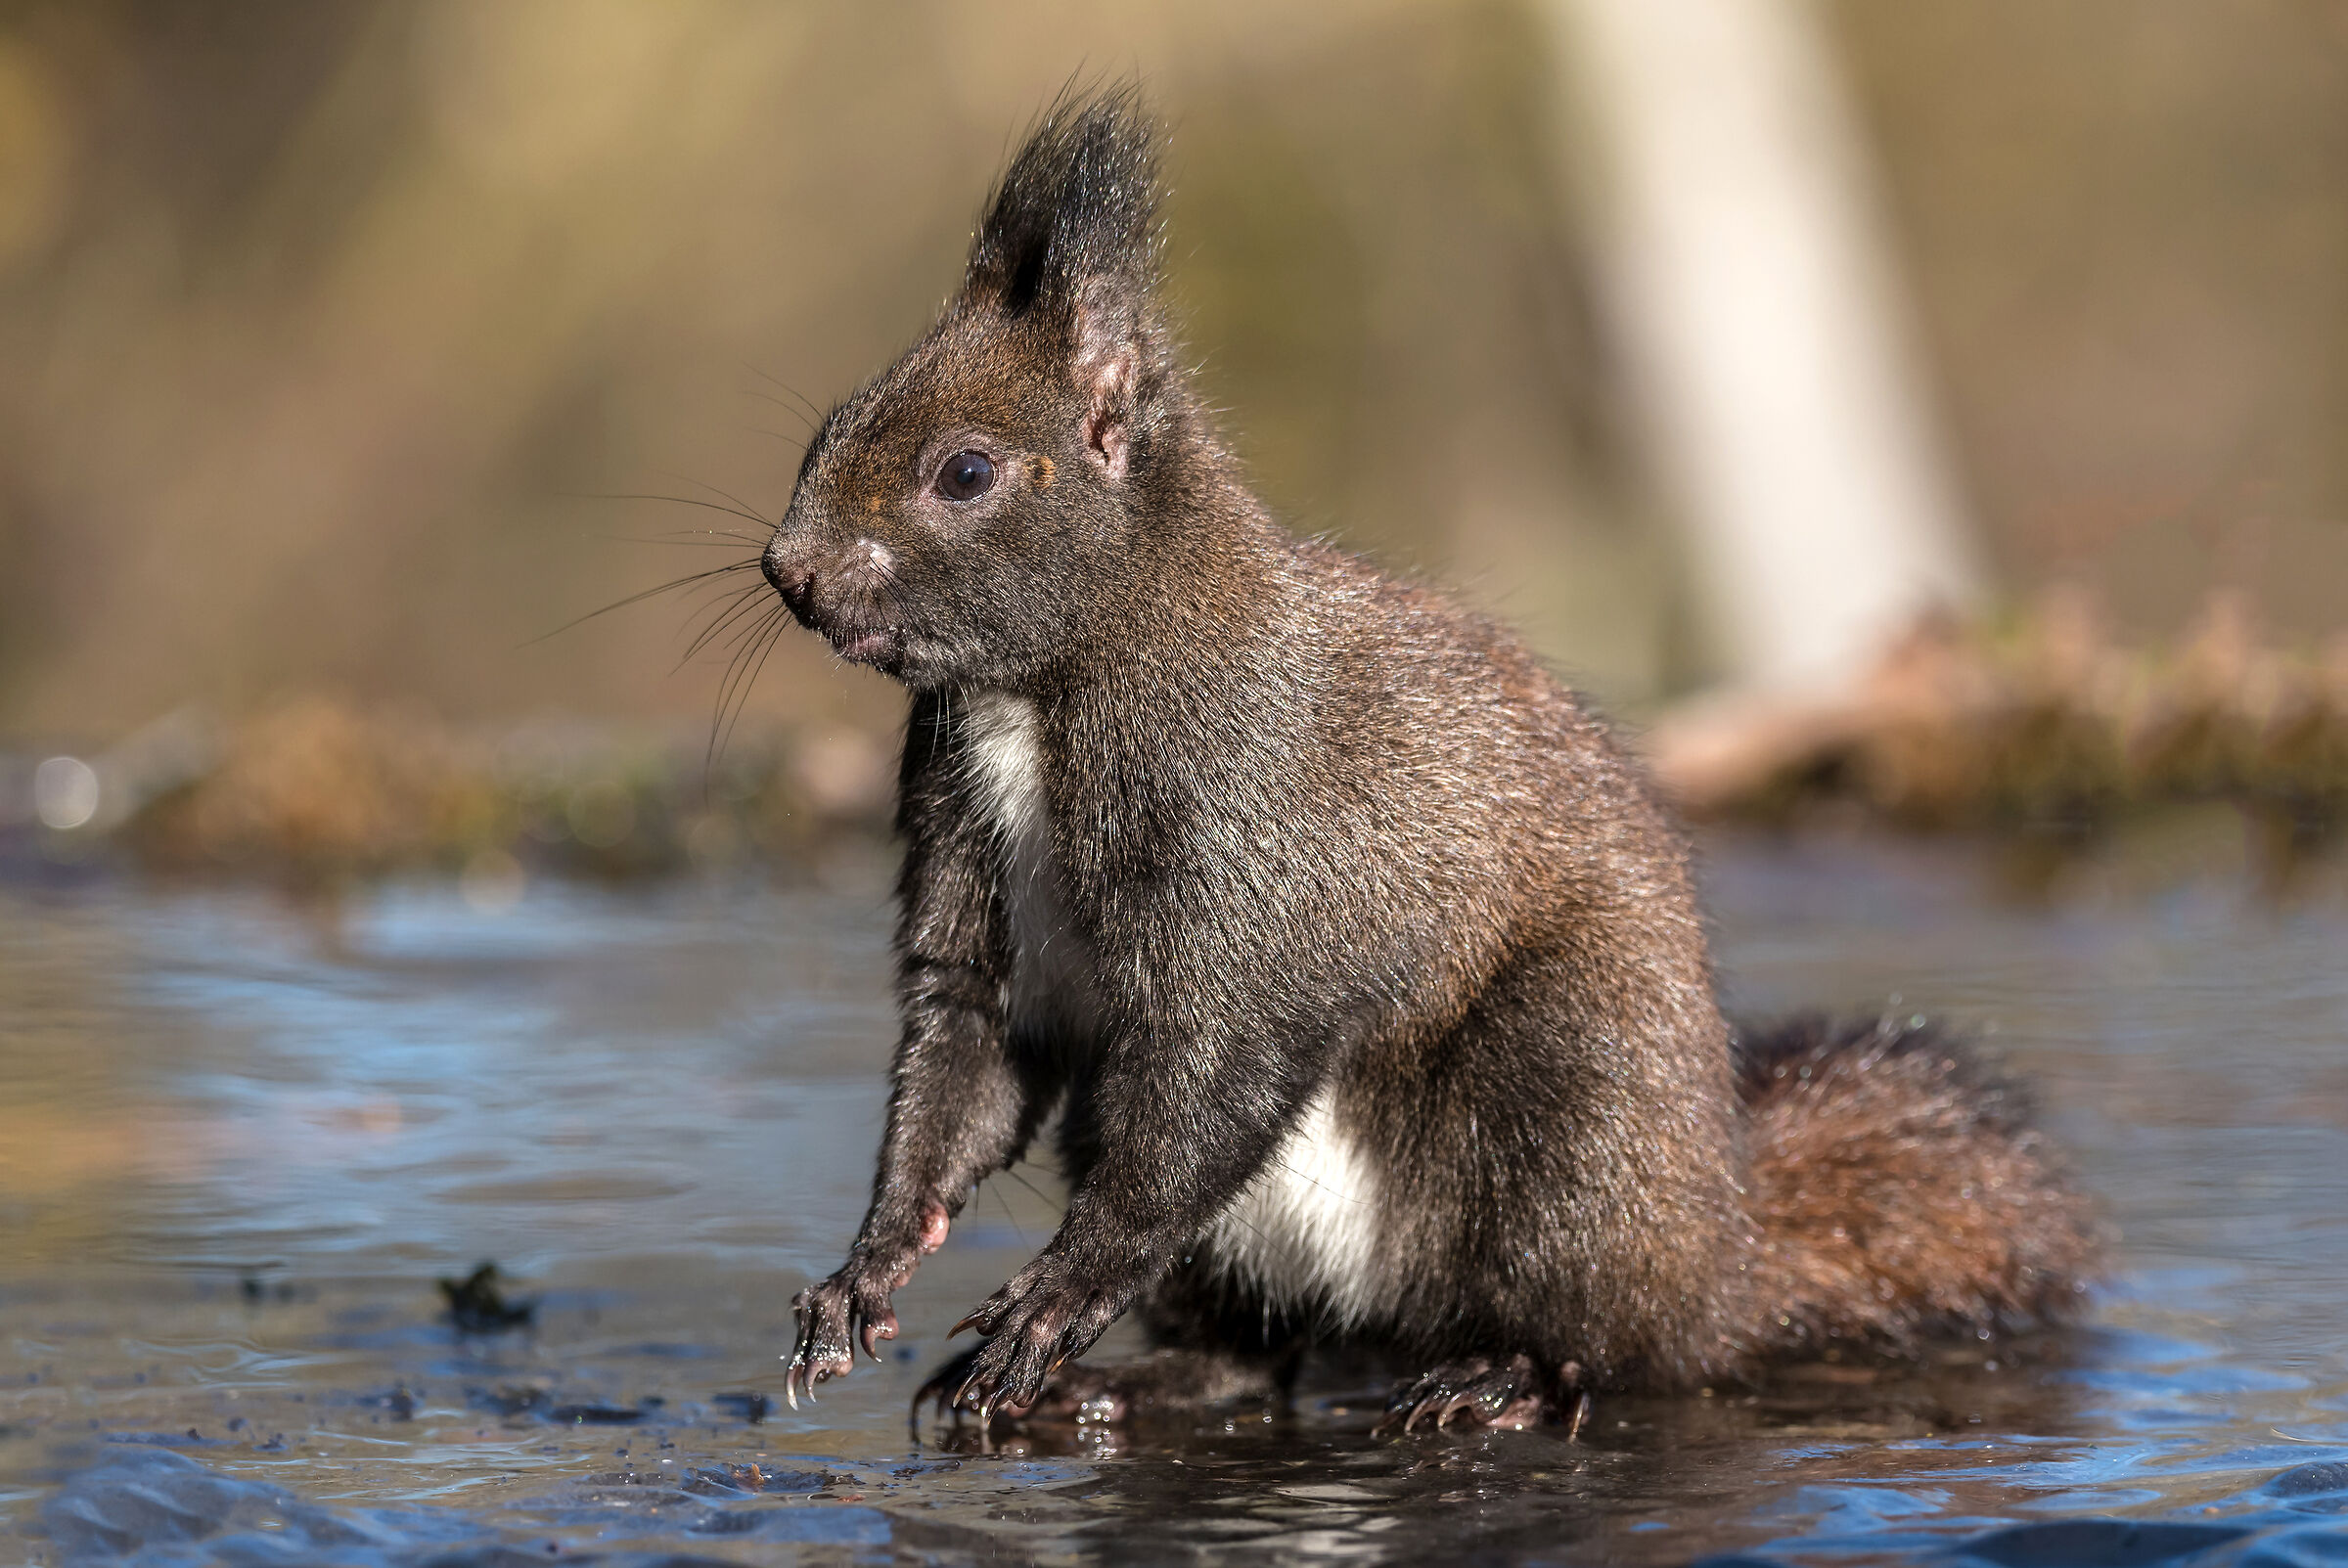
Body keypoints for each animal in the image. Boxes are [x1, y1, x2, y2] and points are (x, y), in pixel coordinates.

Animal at [764, 86, 2100, 1433]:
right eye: (828, 423)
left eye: (966, 471)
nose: (789, 570)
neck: (1036, 693)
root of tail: (1721, 1249)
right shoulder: (967, 859)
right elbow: (964, 1056)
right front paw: (869, 1268)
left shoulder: (1253, 840)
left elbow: (1203, 1085)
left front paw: (1054, 1292)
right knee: (1255, 1353)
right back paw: (1124, 1384)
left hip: (1566, 1110)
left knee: (1614, 1342)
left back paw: (1501, 1376)